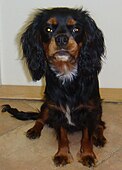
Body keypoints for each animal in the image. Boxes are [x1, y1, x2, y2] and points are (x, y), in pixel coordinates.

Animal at [2, 7, 106, 167]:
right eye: (48, 29)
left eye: (76, 29)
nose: (61, 39)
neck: (67, 73)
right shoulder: (56, 109)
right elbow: (62, 136)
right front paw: (62, 155)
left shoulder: (89, 110)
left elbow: (86, 137)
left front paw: (87, 155)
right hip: (46, 105)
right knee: (40, 118)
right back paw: (34, 130)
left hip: (98, 108)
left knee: (100, 124)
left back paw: (99, 138)